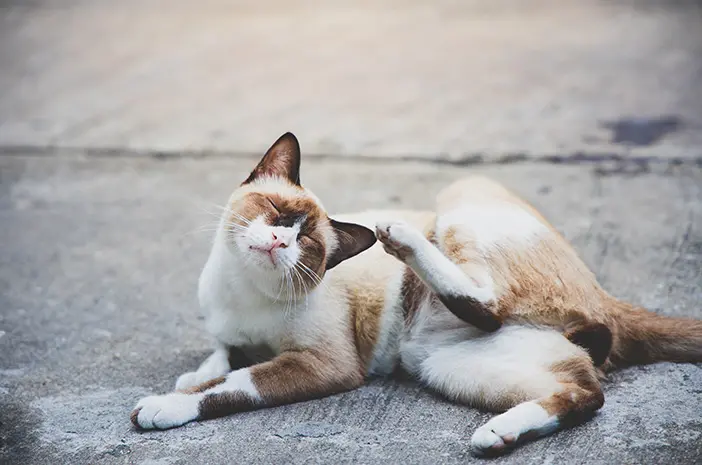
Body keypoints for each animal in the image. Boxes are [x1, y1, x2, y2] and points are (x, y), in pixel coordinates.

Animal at [133, 132, 702, 454]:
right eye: (275, 211)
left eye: (308, 241)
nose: (278, 241)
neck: (243, 292)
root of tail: (607, 298)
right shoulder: (230, 333)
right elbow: (219, 359)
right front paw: (192, 375)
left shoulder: (324, 365)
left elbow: (232, 383)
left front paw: (163, 407)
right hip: (445, 364)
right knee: (583, 391)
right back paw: (498, 436)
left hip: (460, 199)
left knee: (491, 307)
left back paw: (399, 236)